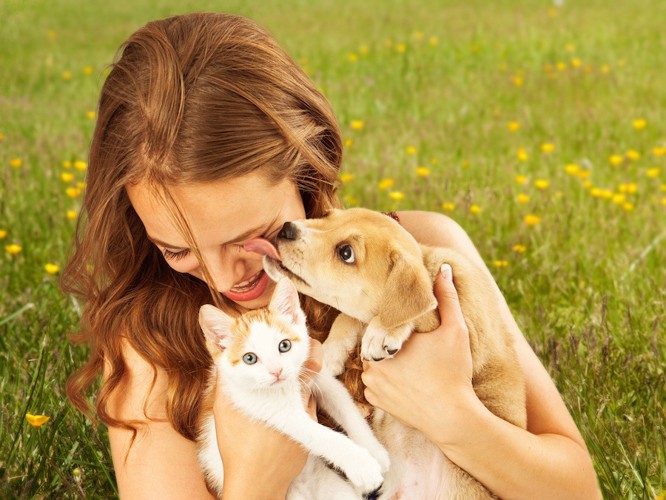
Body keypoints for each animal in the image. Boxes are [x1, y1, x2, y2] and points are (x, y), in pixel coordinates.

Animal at [195, 278, 386, 500]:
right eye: (249, 358)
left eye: (284, 346)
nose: (276, 371)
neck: (287, 386)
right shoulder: (270, 409)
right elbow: (320, 434)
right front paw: (362, 465)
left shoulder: (318, 377)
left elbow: (347, 410)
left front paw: (376, 453)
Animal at [260, 206, 524, 496]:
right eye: (329, 215)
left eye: (346, 253)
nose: (286, 228)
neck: (427, 264)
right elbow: (349, 317)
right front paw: (331, 353)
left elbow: (410, 311)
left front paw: (383, 332)